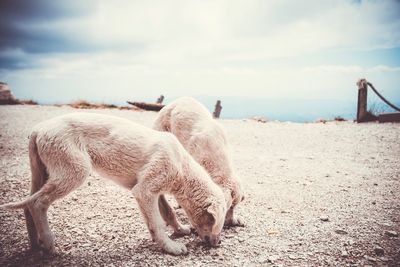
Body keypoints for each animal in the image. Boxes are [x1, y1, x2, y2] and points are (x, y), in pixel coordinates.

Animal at [0, 112, 230, 255]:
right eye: (215, 222)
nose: (218, 244)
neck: (182, 168)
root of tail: (38, 130)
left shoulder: (154, 190)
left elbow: (167, 212)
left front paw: (180, 230)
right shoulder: (144, 190)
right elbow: (156, 222)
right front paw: (170, 247)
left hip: (43, 171)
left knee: (28, 204)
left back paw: (35, 244)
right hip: (73, 170)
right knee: (38, 203)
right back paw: (48, 243)